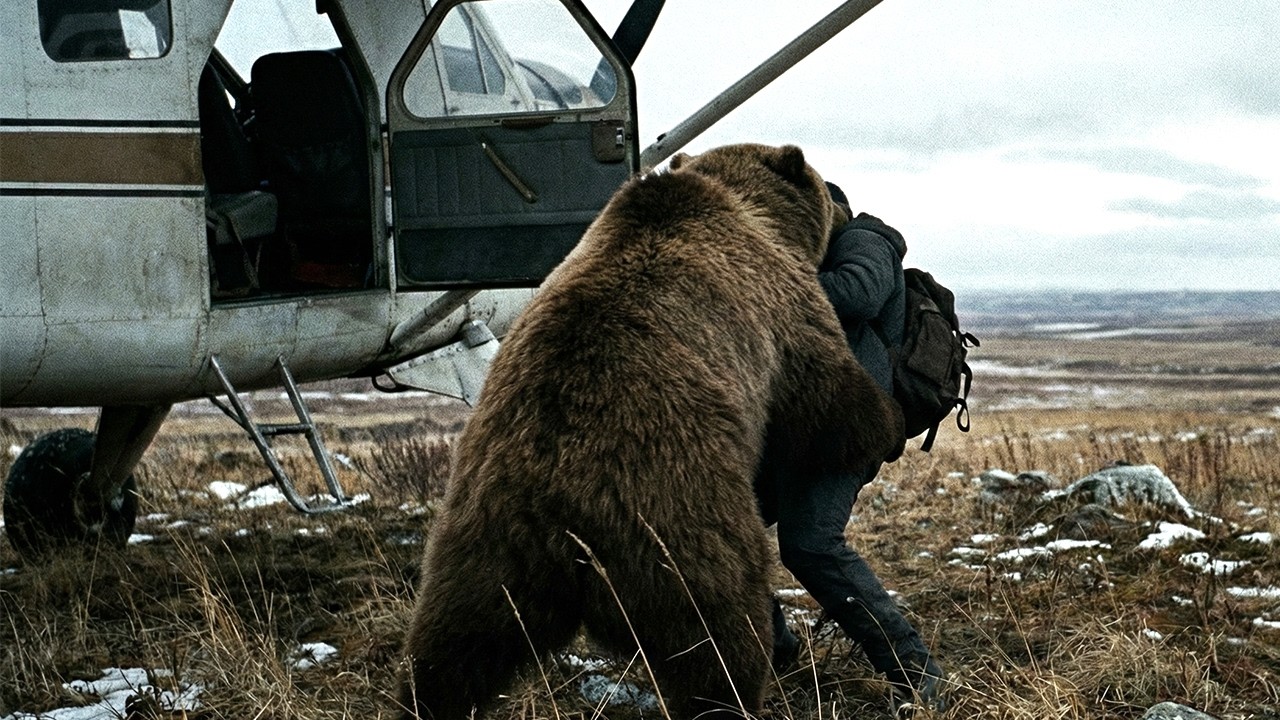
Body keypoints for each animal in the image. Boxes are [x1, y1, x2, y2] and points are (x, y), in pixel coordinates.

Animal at [397, 143, 905, 719]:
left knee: (455, 646)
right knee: (717, 636)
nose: (846, 210)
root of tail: (555, 512)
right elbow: (827, 393)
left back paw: (423, 699)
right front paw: (886, 420)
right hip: (675, 520)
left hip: (481, 547)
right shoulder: (779, 305)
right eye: (826, 190)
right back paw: (734, 694)